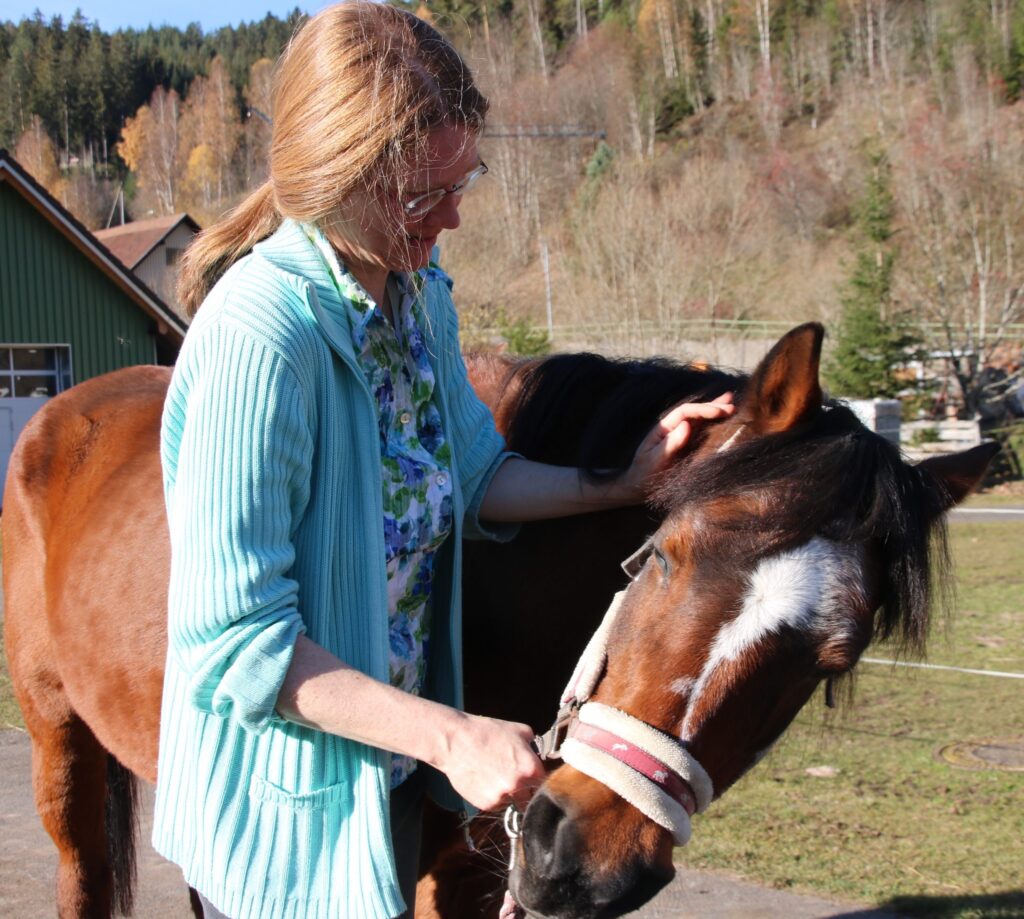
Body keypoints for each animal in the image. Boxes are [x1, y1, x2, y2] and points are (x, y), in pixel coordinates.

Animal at [2, 323, 991, 917]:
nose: (591, 860)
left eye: (835, 657)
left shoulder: (482, 864)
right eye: (667, 554)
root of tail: (63, 409)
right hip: (59, 738)